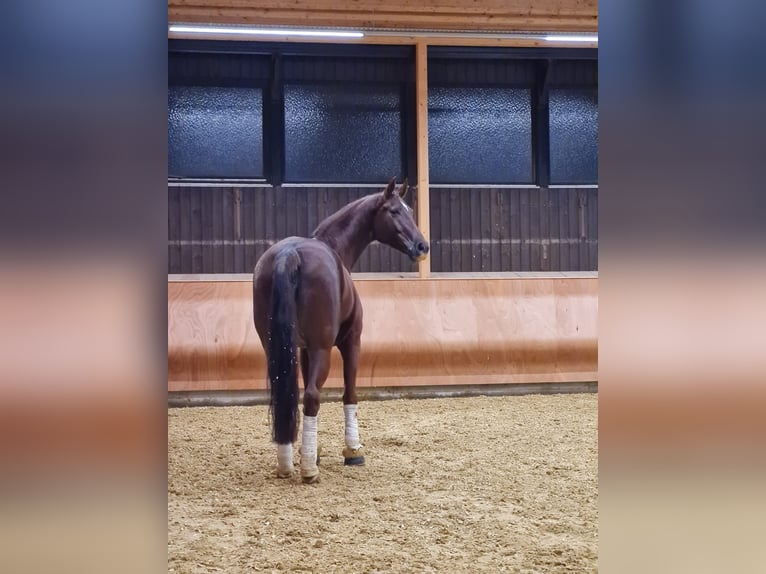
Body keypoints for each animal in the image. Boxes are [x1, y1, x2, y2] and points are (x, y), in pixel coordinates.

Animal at [252, 178, 429, 483]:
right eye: (395, 211)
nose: (422, 246)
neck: (335, 248)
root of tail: (289, 254)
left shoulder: (303, 349)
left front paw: (313, 451)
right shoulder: (351, 343)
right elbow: (350, 393)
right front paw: (352, 450)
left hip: (276, 349)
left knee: (285, 395)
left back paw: (286, 464)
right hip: (324, 348)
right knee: (312, 396)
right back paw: (309, 471)